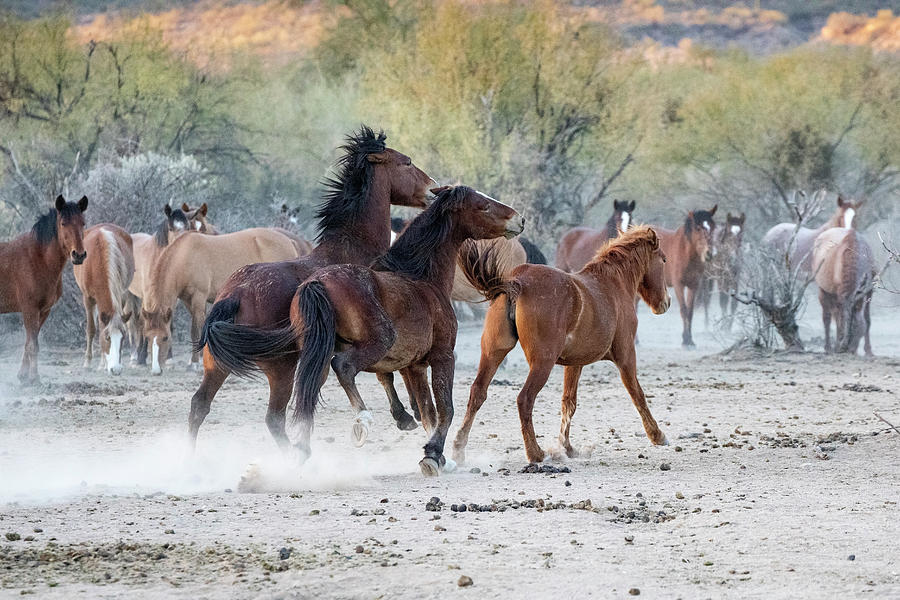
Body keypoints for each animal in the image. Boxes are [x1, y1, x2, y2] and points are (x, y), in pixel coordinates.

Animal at [0, 196, 89, 384]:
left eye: (83, 223)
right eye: (63, 223)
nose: (78, 255)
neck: (38, 259)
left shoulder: (43, 310)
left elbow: (29, 342)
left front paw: (23, 376)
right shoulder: (29, 309)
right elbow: (33, 345)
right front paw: (35, 378)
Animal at [73, 225, 135, 376]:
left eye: (123, 338)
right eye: (107, 337)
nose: (116, 370)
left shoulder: (120, 295)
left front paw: (103, 364)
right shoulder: (88, 298)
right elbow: (92, 329)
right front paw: (88, 362)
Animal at [141, 227, 300, 372]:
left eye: (165, 338)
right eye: (147, 338)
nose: (156, 370)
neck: (185, 257)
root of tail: (289, 241)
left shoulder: (199, 297)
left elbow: (197, 329)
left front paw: (196, 363)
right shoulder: (187, 300)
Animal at [454, 225, 672, 464]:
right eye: (663, 259)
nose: (665, 303)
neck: (613, 284)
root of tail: (516, 282)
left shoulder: (575, 363)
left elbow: (569, 403)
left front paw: (567, 448)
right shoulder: (625, 356)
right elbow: (638, 394)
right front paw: (657, 435)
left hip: (493, 352)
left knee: (478, 392)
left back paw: (458, 450)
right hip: (542, 363)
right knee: (525, 399)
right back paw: (535, 453)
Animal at [652, 206, 716, 346]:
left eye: (713, 227)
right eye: (698, 228)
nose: (709, 253)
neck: (687, 254)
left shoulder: (693, 285)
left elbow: (690, 311)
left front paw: (690, 340)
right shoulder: (679, 285)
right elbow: (683, 310)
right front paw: (685, 340)